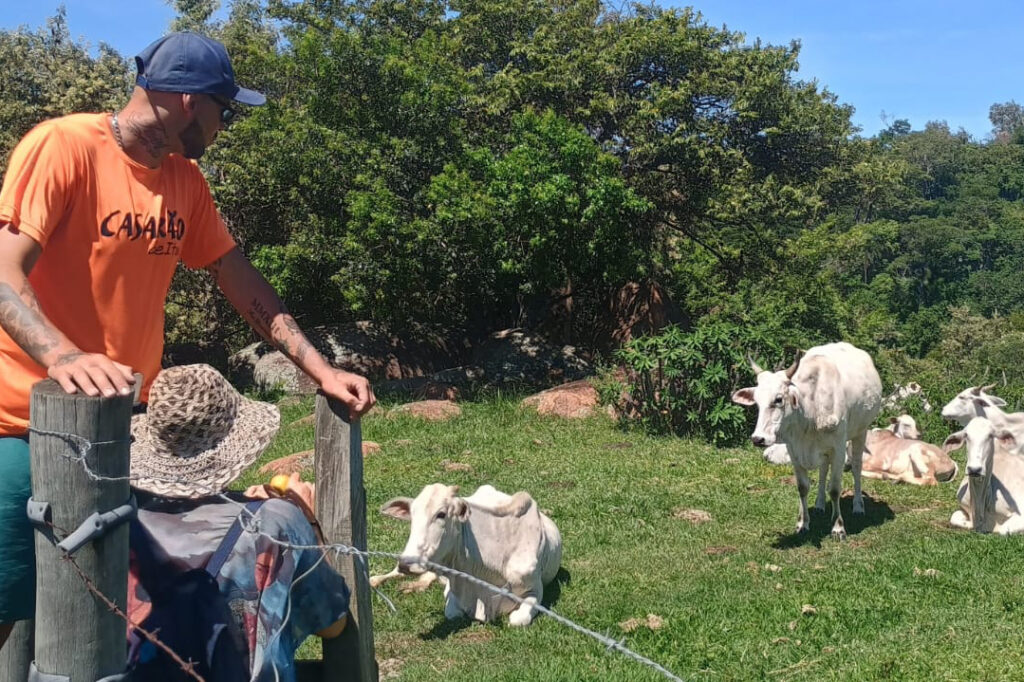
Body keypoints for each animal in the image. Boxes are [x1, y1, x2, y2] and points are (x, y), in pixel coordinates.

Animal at [374, 484, 562, 626]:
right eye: (412, 516)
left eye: (441, 514)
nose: (406, 564)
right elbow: (452, 613)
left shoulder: (535, 590)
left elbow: (517, 619)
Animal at [732, 342, 882, 540]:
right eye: (756, 402)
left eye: (778, 399)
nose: (758, 439)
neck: (810, 411)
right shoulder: (794, 449)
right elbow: (802, 487)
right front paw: (802, 523)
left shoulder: (838, 448)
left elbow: (835, 489)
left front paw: (838, 527)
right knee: (823, 469)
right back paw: (819, 504)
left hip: (860, 431)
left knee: (857, 467)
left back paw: (858, 506)